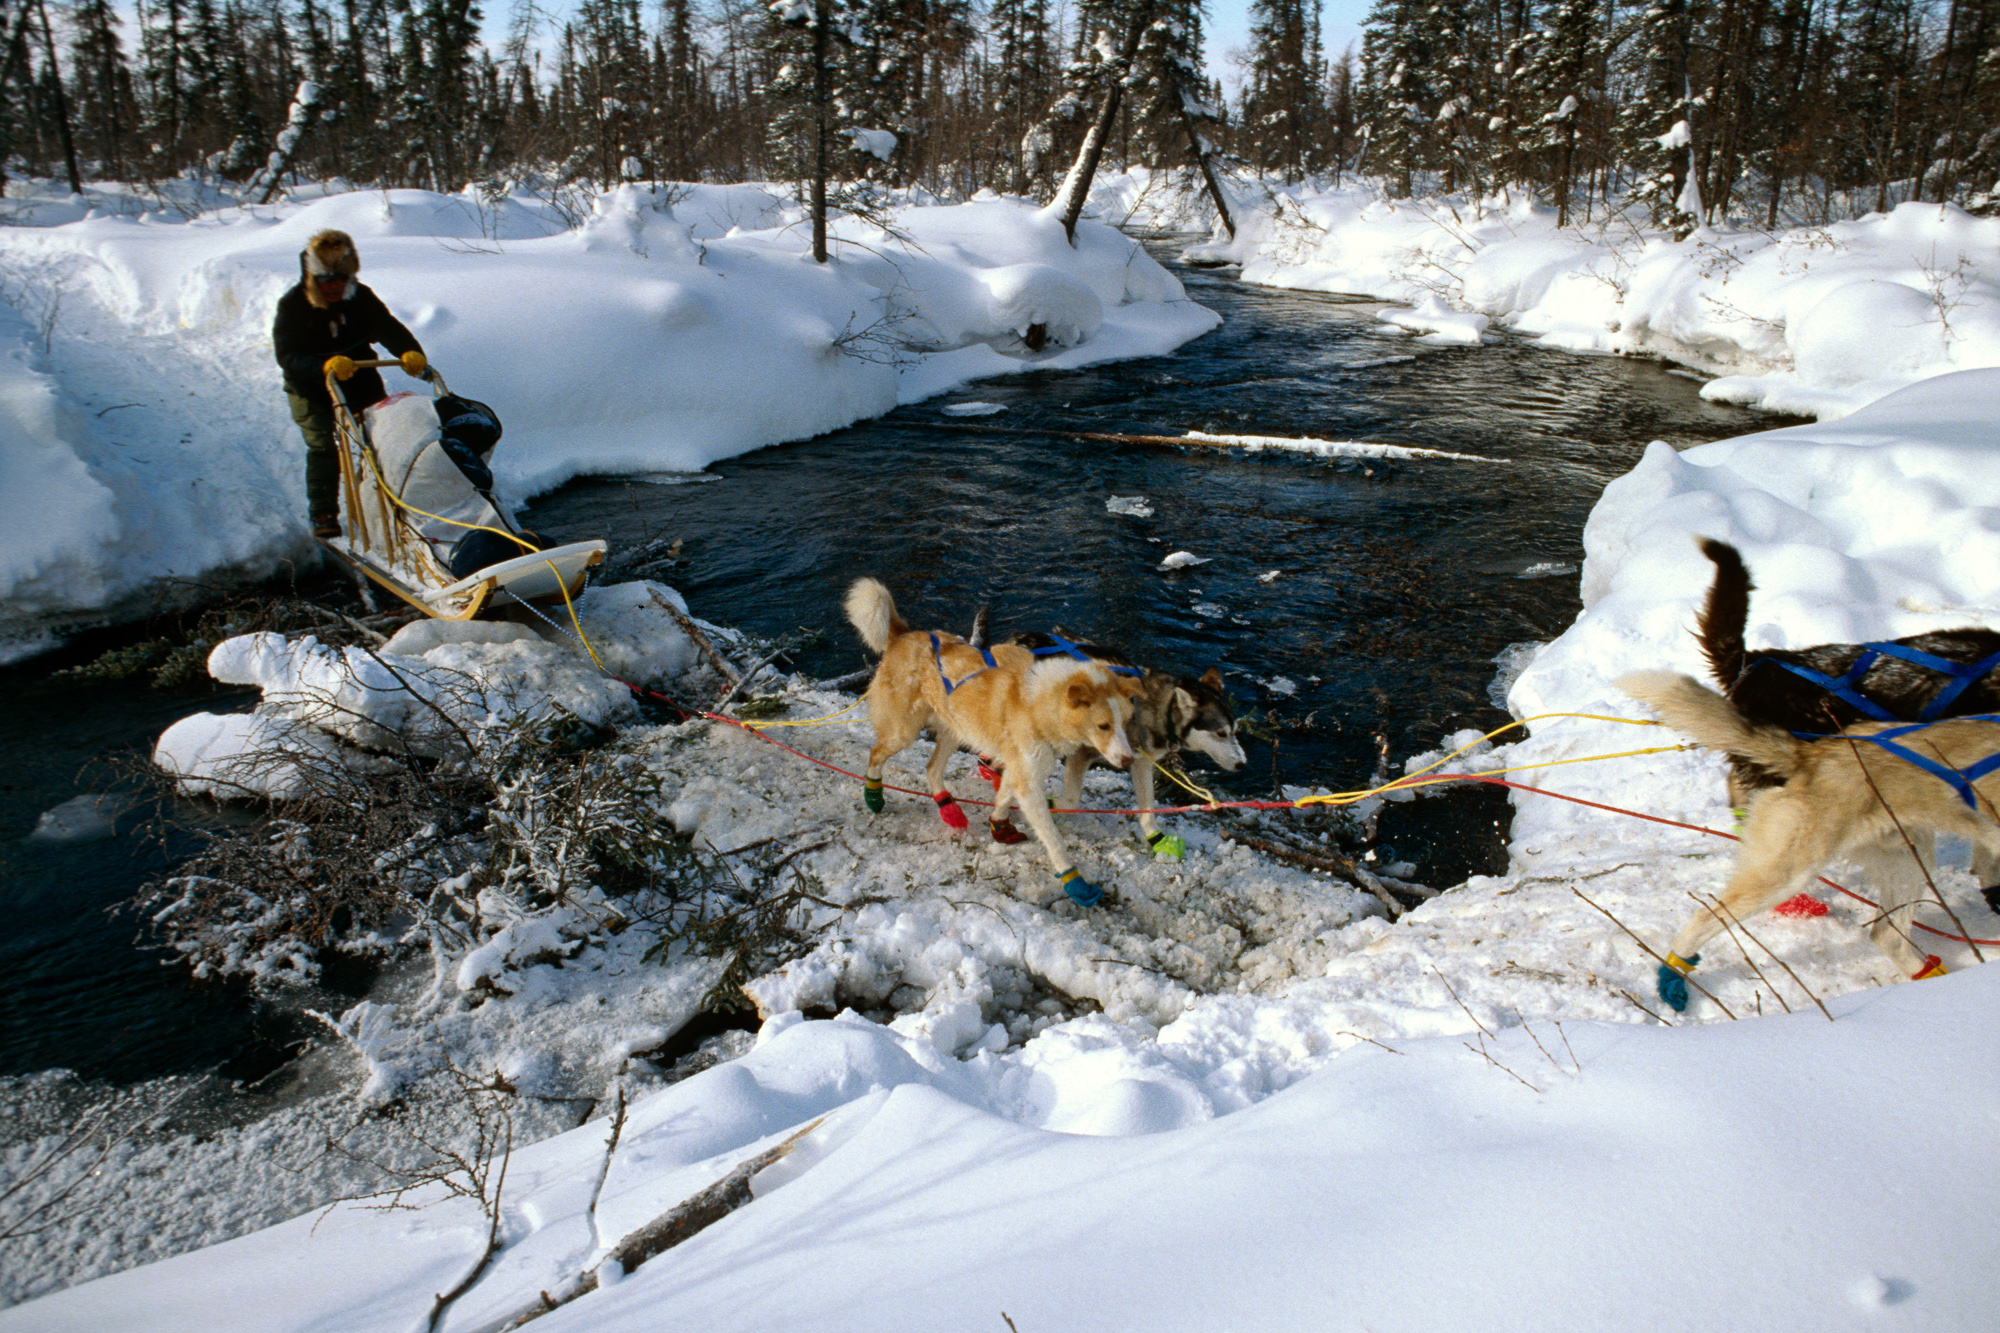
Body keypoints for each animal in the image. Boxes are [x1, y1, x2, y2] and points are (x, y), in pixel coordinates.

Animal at [844, 580, 1144, 904]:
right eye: (1103, 725)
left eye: (1125, 723)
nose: (1129, 759)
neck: (1039, 703)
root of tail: (905, 633)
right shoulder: (1027, 781)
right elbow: (1053, 839)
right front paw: (1074, 882)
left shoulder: (1020, 767)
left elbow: (1005, 797)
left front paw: (999, 827)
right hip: (904, 731)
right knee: (876, 753)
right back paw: (873, 795)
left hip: (955, 731)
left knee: (932, 768)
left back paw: (947, 807)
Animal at [1616, 664, 1992, 1008]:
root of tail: (1812, 754)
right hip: (1787, 874)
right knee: (1706, 917)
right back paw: (1674, 974)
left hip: (1911, 857)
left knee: (1887, 934)